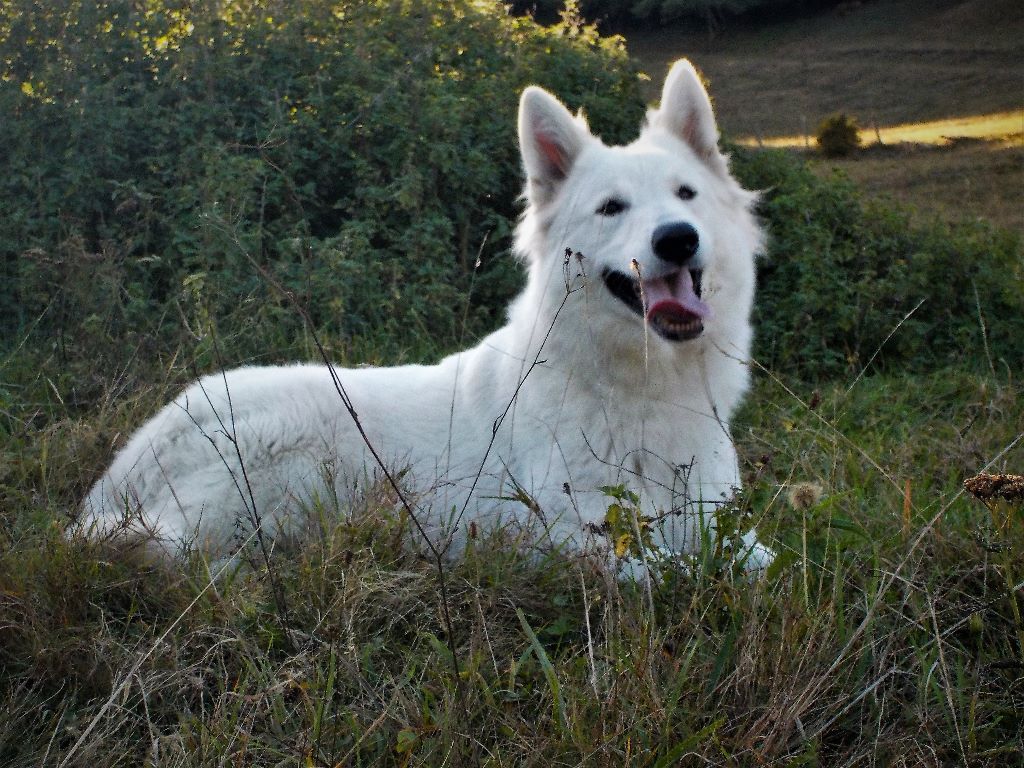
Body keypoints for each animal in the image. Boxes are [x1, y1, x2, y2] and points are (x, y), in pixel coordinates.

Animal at [83, 61, 770, 573]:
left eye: (686, 194)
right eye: (611, 208)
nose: (677, 239)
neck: (646, 385)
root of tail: (119, 475)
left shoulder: (720, 523)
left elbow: (760, 563)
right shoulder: (578, 538)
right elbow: (680, 573)